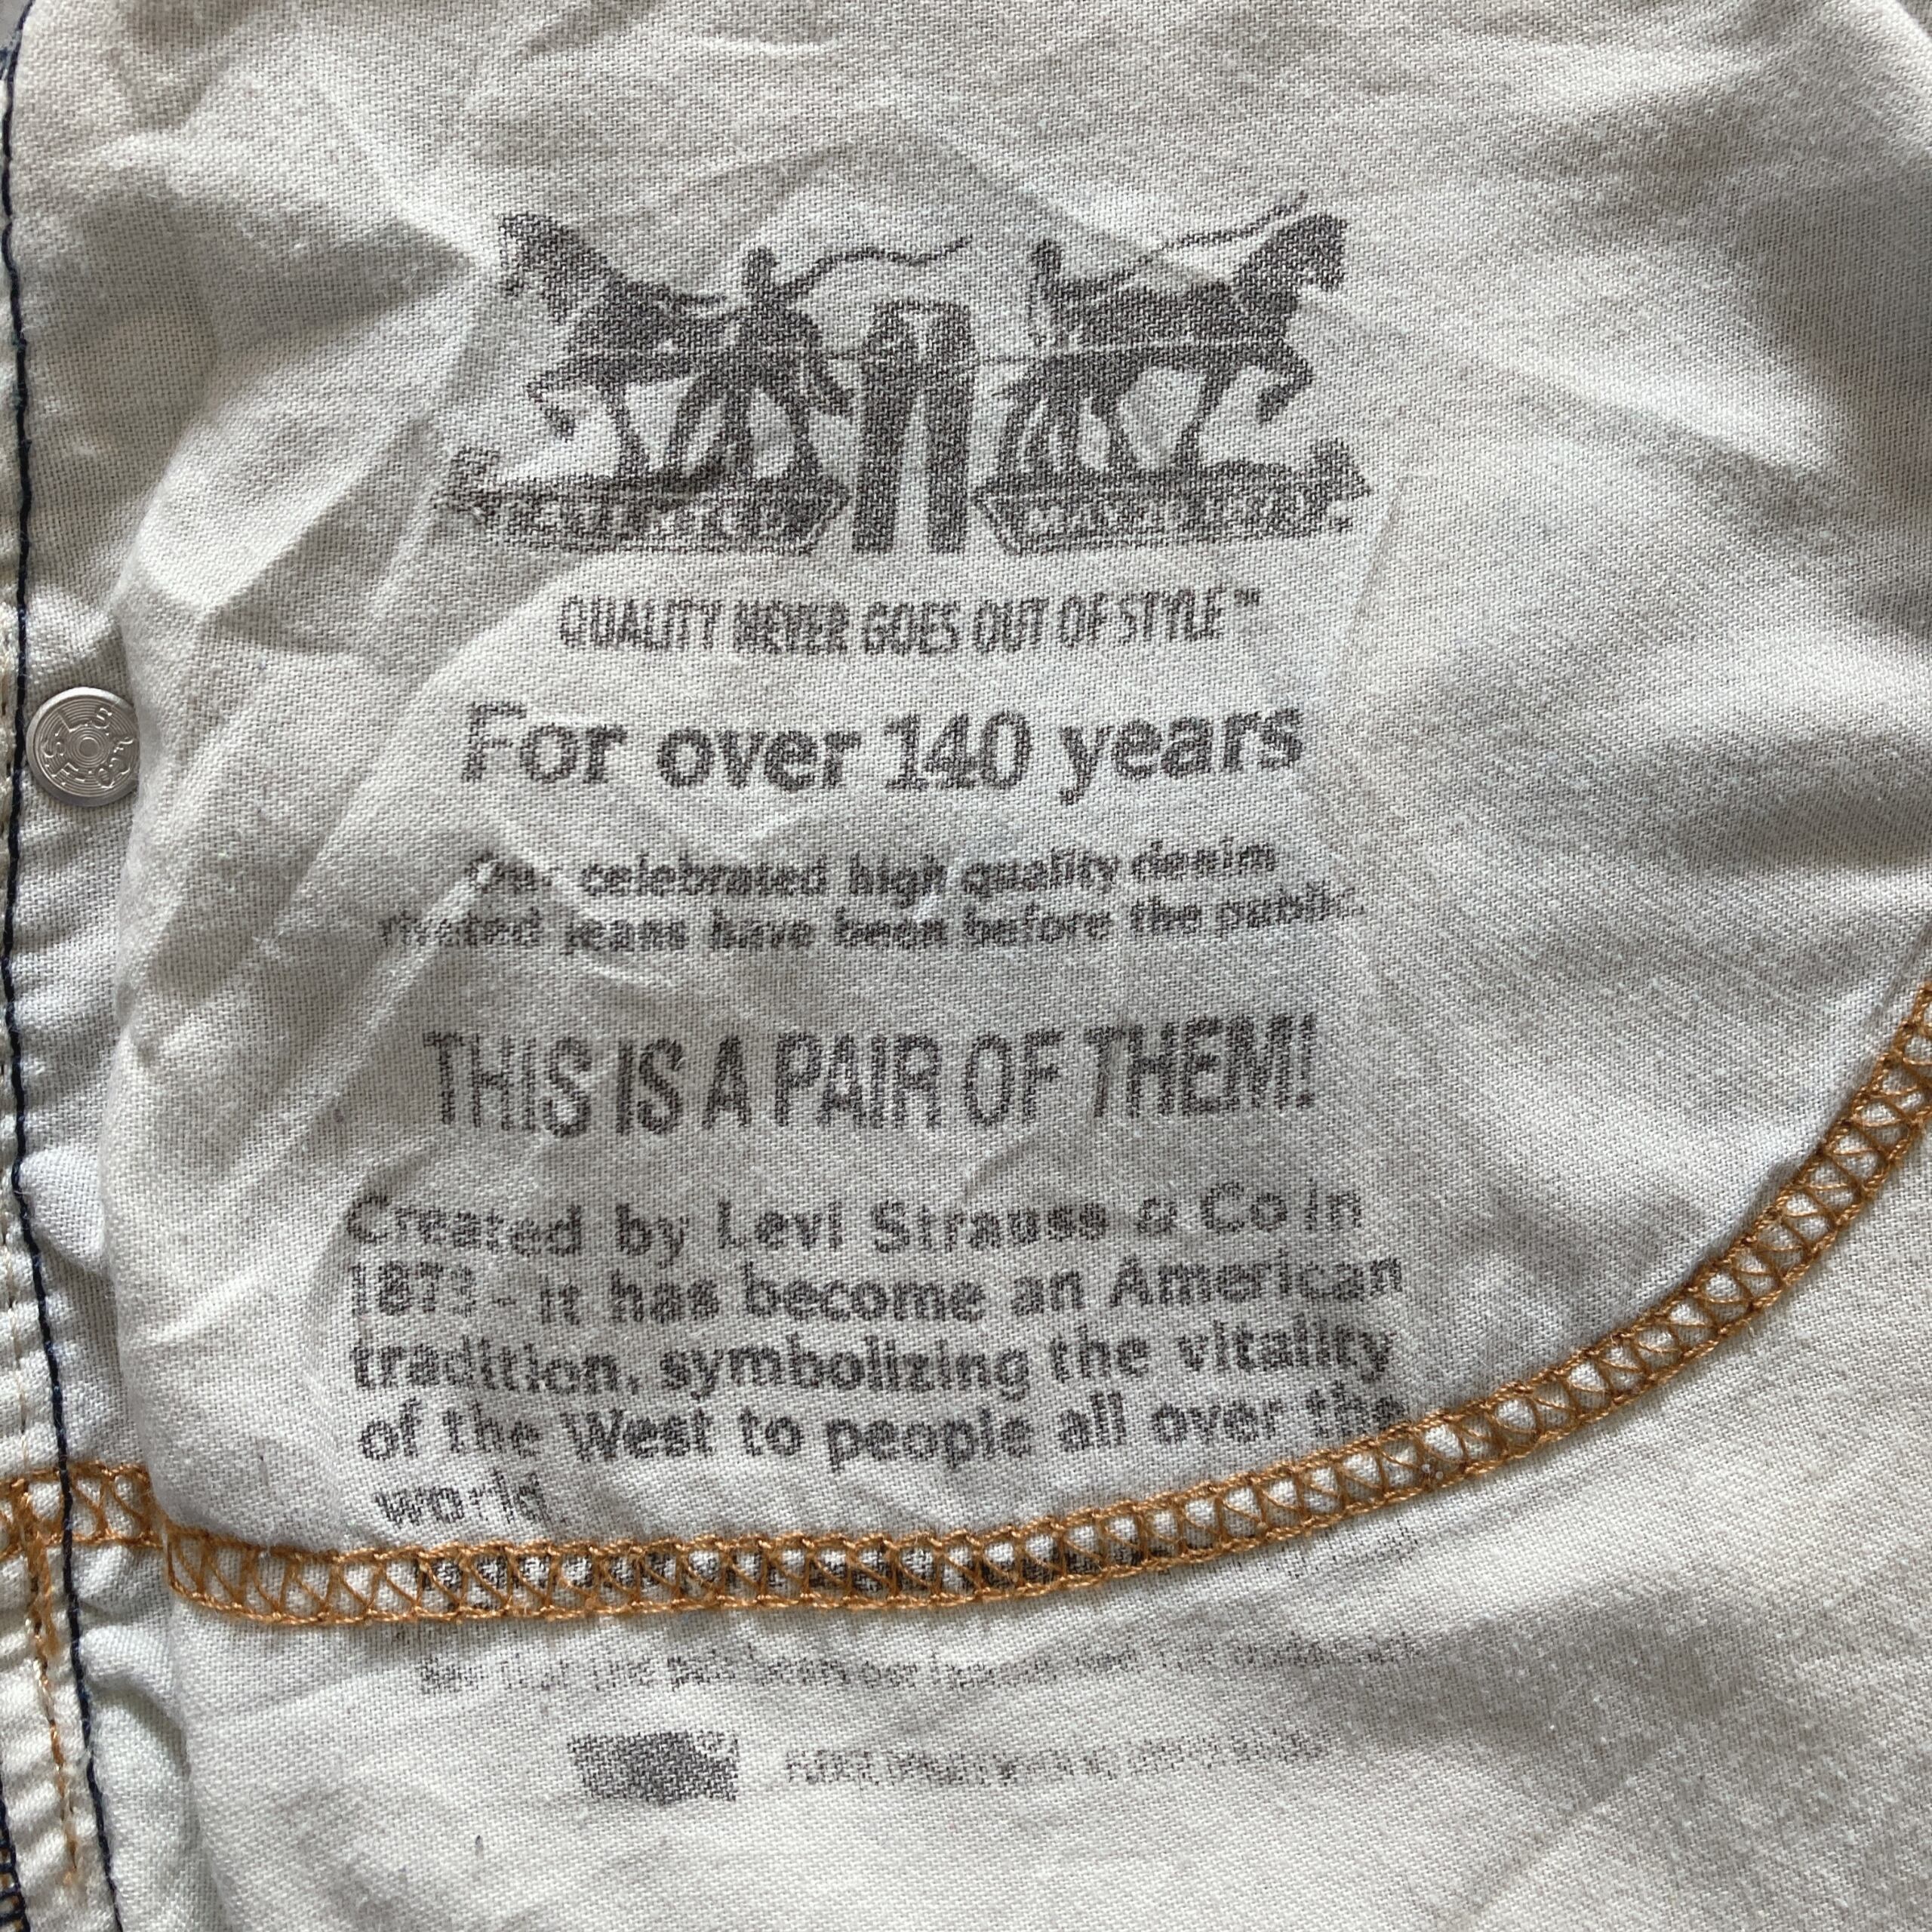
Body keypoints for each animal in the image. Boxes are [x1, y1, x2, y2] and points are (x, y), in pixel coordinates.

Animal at [497, 215, 731, 479]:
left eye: (515, 251)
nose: (508, 285)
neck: (583, 299)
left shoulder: (590, 369)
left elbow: (535, 385)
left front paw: (563, 424)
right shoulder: (606, 380)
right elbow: (620, 418)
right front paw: (630, 463)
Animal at [998, 213, 1346, 477]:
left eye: (1338, 249)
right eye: (1329, 247)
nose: (1335, 280)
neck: (1253, 300)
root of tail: (1089, 309)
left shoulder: (1234, 363)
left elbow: (1212, 403)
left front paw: (1188, 453)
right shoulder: (1242, 357)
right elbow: (1301, 372)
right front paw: (1268, 405)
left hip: (1120, 367)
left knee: (1076, 402)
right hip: (1112, 365)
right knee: (1076, 402)